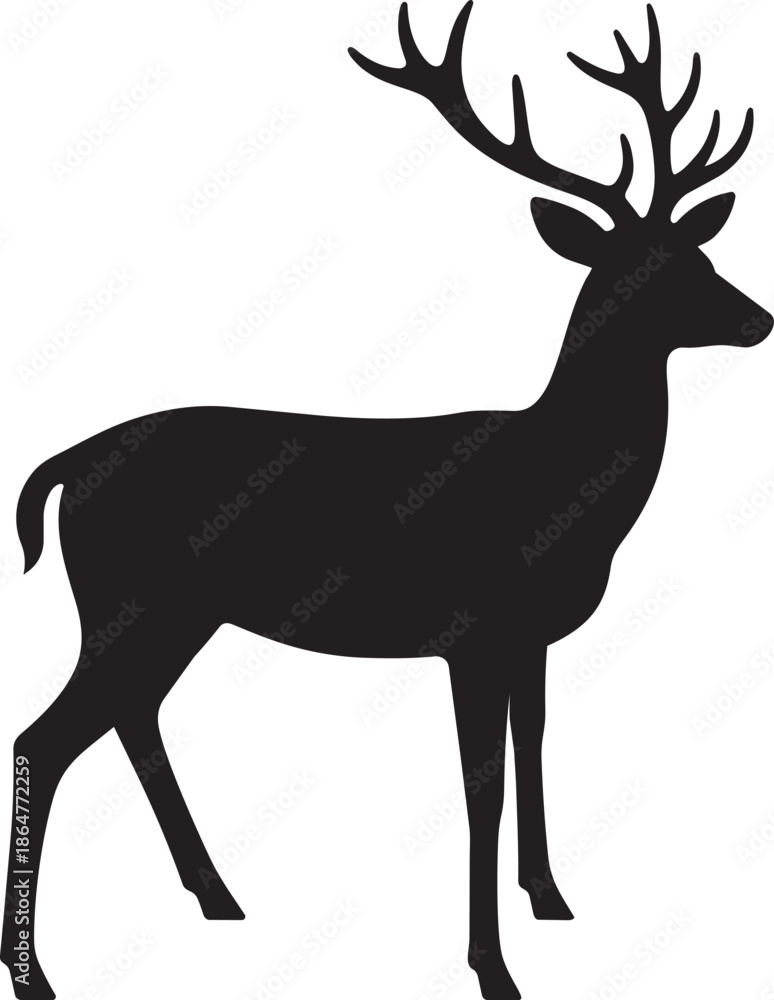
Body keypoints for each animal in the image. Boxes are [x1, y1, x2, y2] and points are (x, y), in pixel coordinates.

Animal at [2, 4, 771, 999]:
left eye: (701, 251)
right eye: (642, 268)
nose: (759, 319)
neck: (562, 487)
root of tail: (63, 465)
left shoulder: (530, 636)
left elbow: (535, 746)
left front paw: (551, 898)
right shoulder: (472, 629)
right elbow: (479, 785)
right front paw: (493, 969)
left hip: (173, 613)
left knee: (133, 718)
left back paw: (219, 896)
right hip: (129, 599)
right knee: (44, 739)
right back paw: (37, 973)